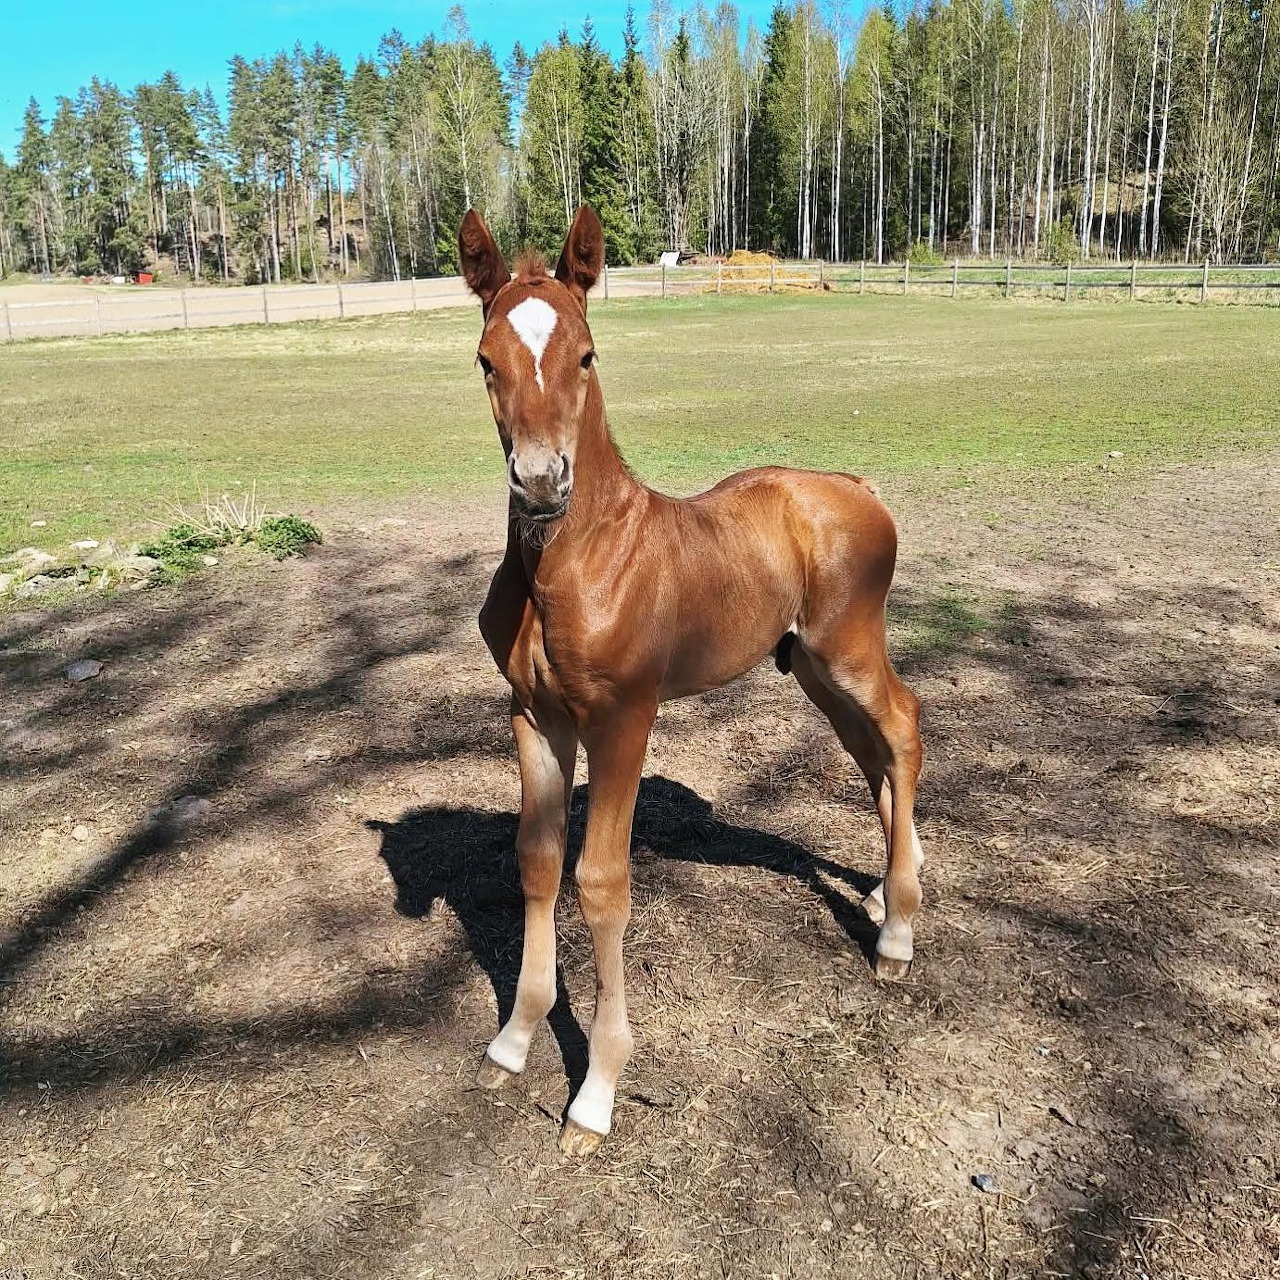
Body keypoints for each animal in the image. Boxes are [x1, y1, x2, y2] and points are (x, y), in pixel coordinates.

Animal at [457, 206, 925, 1156]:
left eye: (587, 353)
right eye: (486, 360)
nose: (541, 481)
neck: (570, 563)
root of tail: (855, 486)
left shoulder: (624, 719)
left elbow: (601, 881)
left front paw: (596, 1093)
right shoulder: (534, 717)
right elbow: (537, 860)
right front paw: (515, 1040)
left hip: (850, 647)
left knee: (903, 728)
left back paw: (897, 930)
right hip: (809, 665)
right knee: (871, 752)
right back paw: (888, 890)